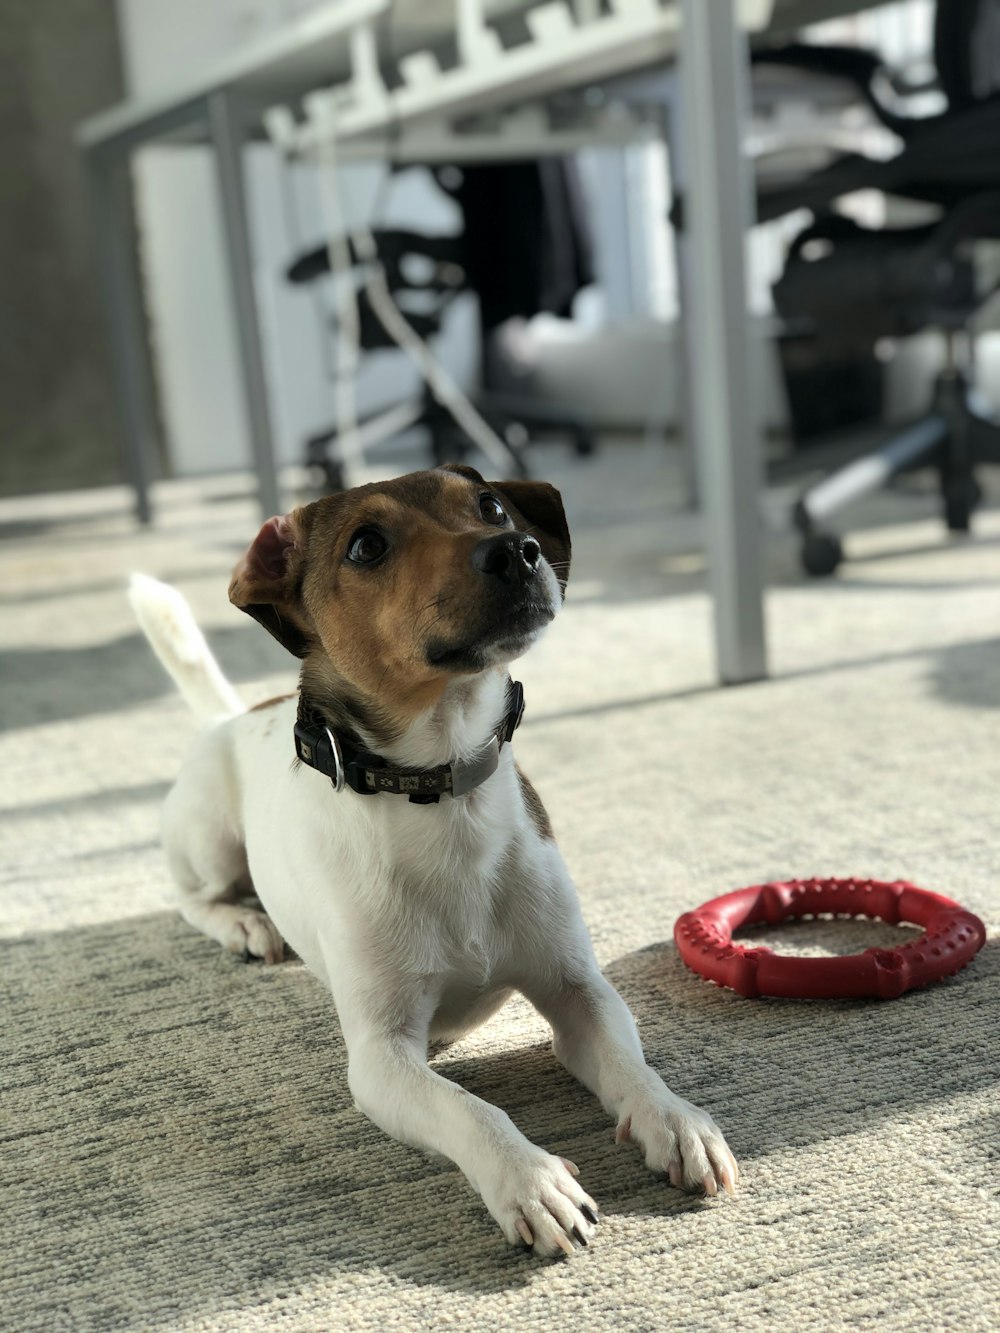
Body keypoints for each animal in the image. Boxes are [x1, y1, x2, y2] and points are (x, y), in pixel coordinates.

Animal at [133, 463, 741, 1253]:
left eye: (490, 506)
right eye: (366, 545)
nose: (516, 551)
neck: (444, 794)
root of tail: (231, 717)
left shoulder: (579, 991)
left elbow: (629, 1062)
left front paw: (673, 1117)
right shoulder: (383, 1057)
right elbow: (467, 1108)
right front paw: (529, 1178)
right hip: (208, 837)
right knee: (192, 896)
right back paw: (244, 923)